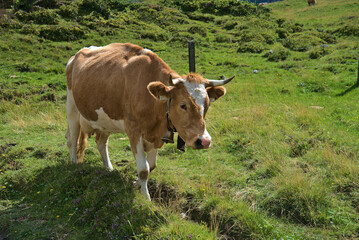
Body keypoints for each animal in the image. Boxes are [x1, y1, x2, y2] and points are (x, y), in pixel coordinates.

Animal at [65, 42, 235, 200]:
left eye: (207, 105)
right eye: (183, 105)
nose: (204, 141)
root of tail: (77, 55)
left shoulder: (156, 135)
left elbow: (151, 166)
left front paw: (136, 185)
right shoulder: (133, 131)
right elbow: (143, 169)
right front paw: (146, 198)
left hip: (105, 120)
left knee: (101, 142)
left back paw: (109, 169)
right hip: (72, 107)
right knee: (72, 138)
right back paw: (73, 165)